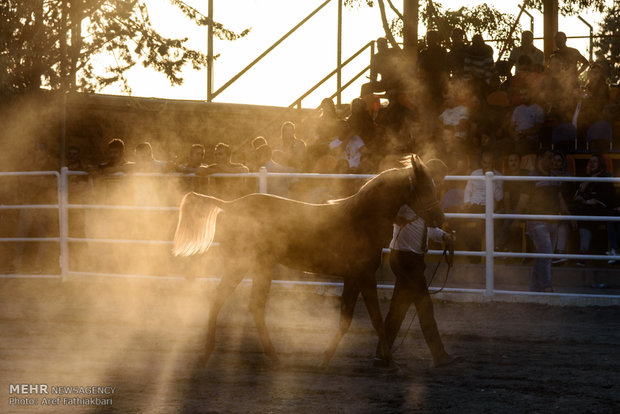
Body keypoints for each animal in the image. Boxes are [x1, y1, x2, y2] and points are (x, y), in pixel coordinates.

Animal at [173, 154, 446, 366]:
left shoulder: (353, 278)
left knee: (239, 302)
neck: (360, 219)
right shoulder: (365, 276)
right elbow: (376, 319)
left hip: (256, 266)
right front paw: (389, 361)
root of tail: (230, 204)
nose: (440, 219)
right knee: (234, 301)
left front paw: (325, 359)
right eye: (424, 188)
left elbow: (346, 319)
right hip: (247, 264)